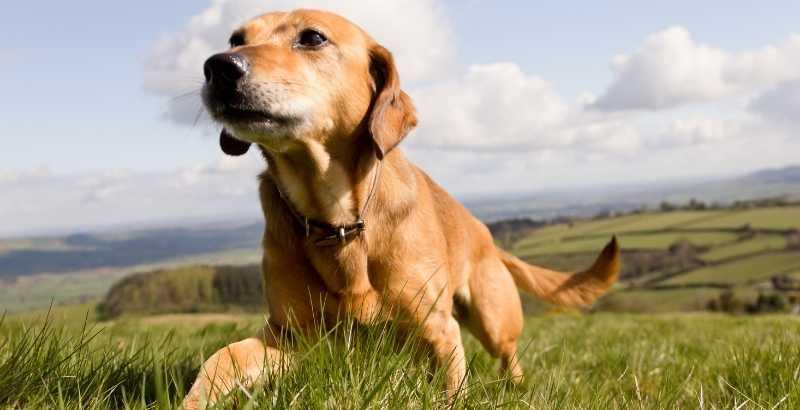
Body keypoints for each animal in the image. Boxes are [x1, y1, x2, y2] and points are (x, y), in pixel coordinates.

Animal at [184, 8, 620, 408]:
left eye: (312, 38)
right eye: (236, 39)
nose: (219, 67)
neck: (338, 221)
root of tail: (484, 233)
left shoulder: (438, 331)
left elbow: (450, 390)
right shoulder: (289, 335)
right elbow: (220, 360)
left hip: (492, 318)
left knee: (508, 355)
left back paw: (516, 388)